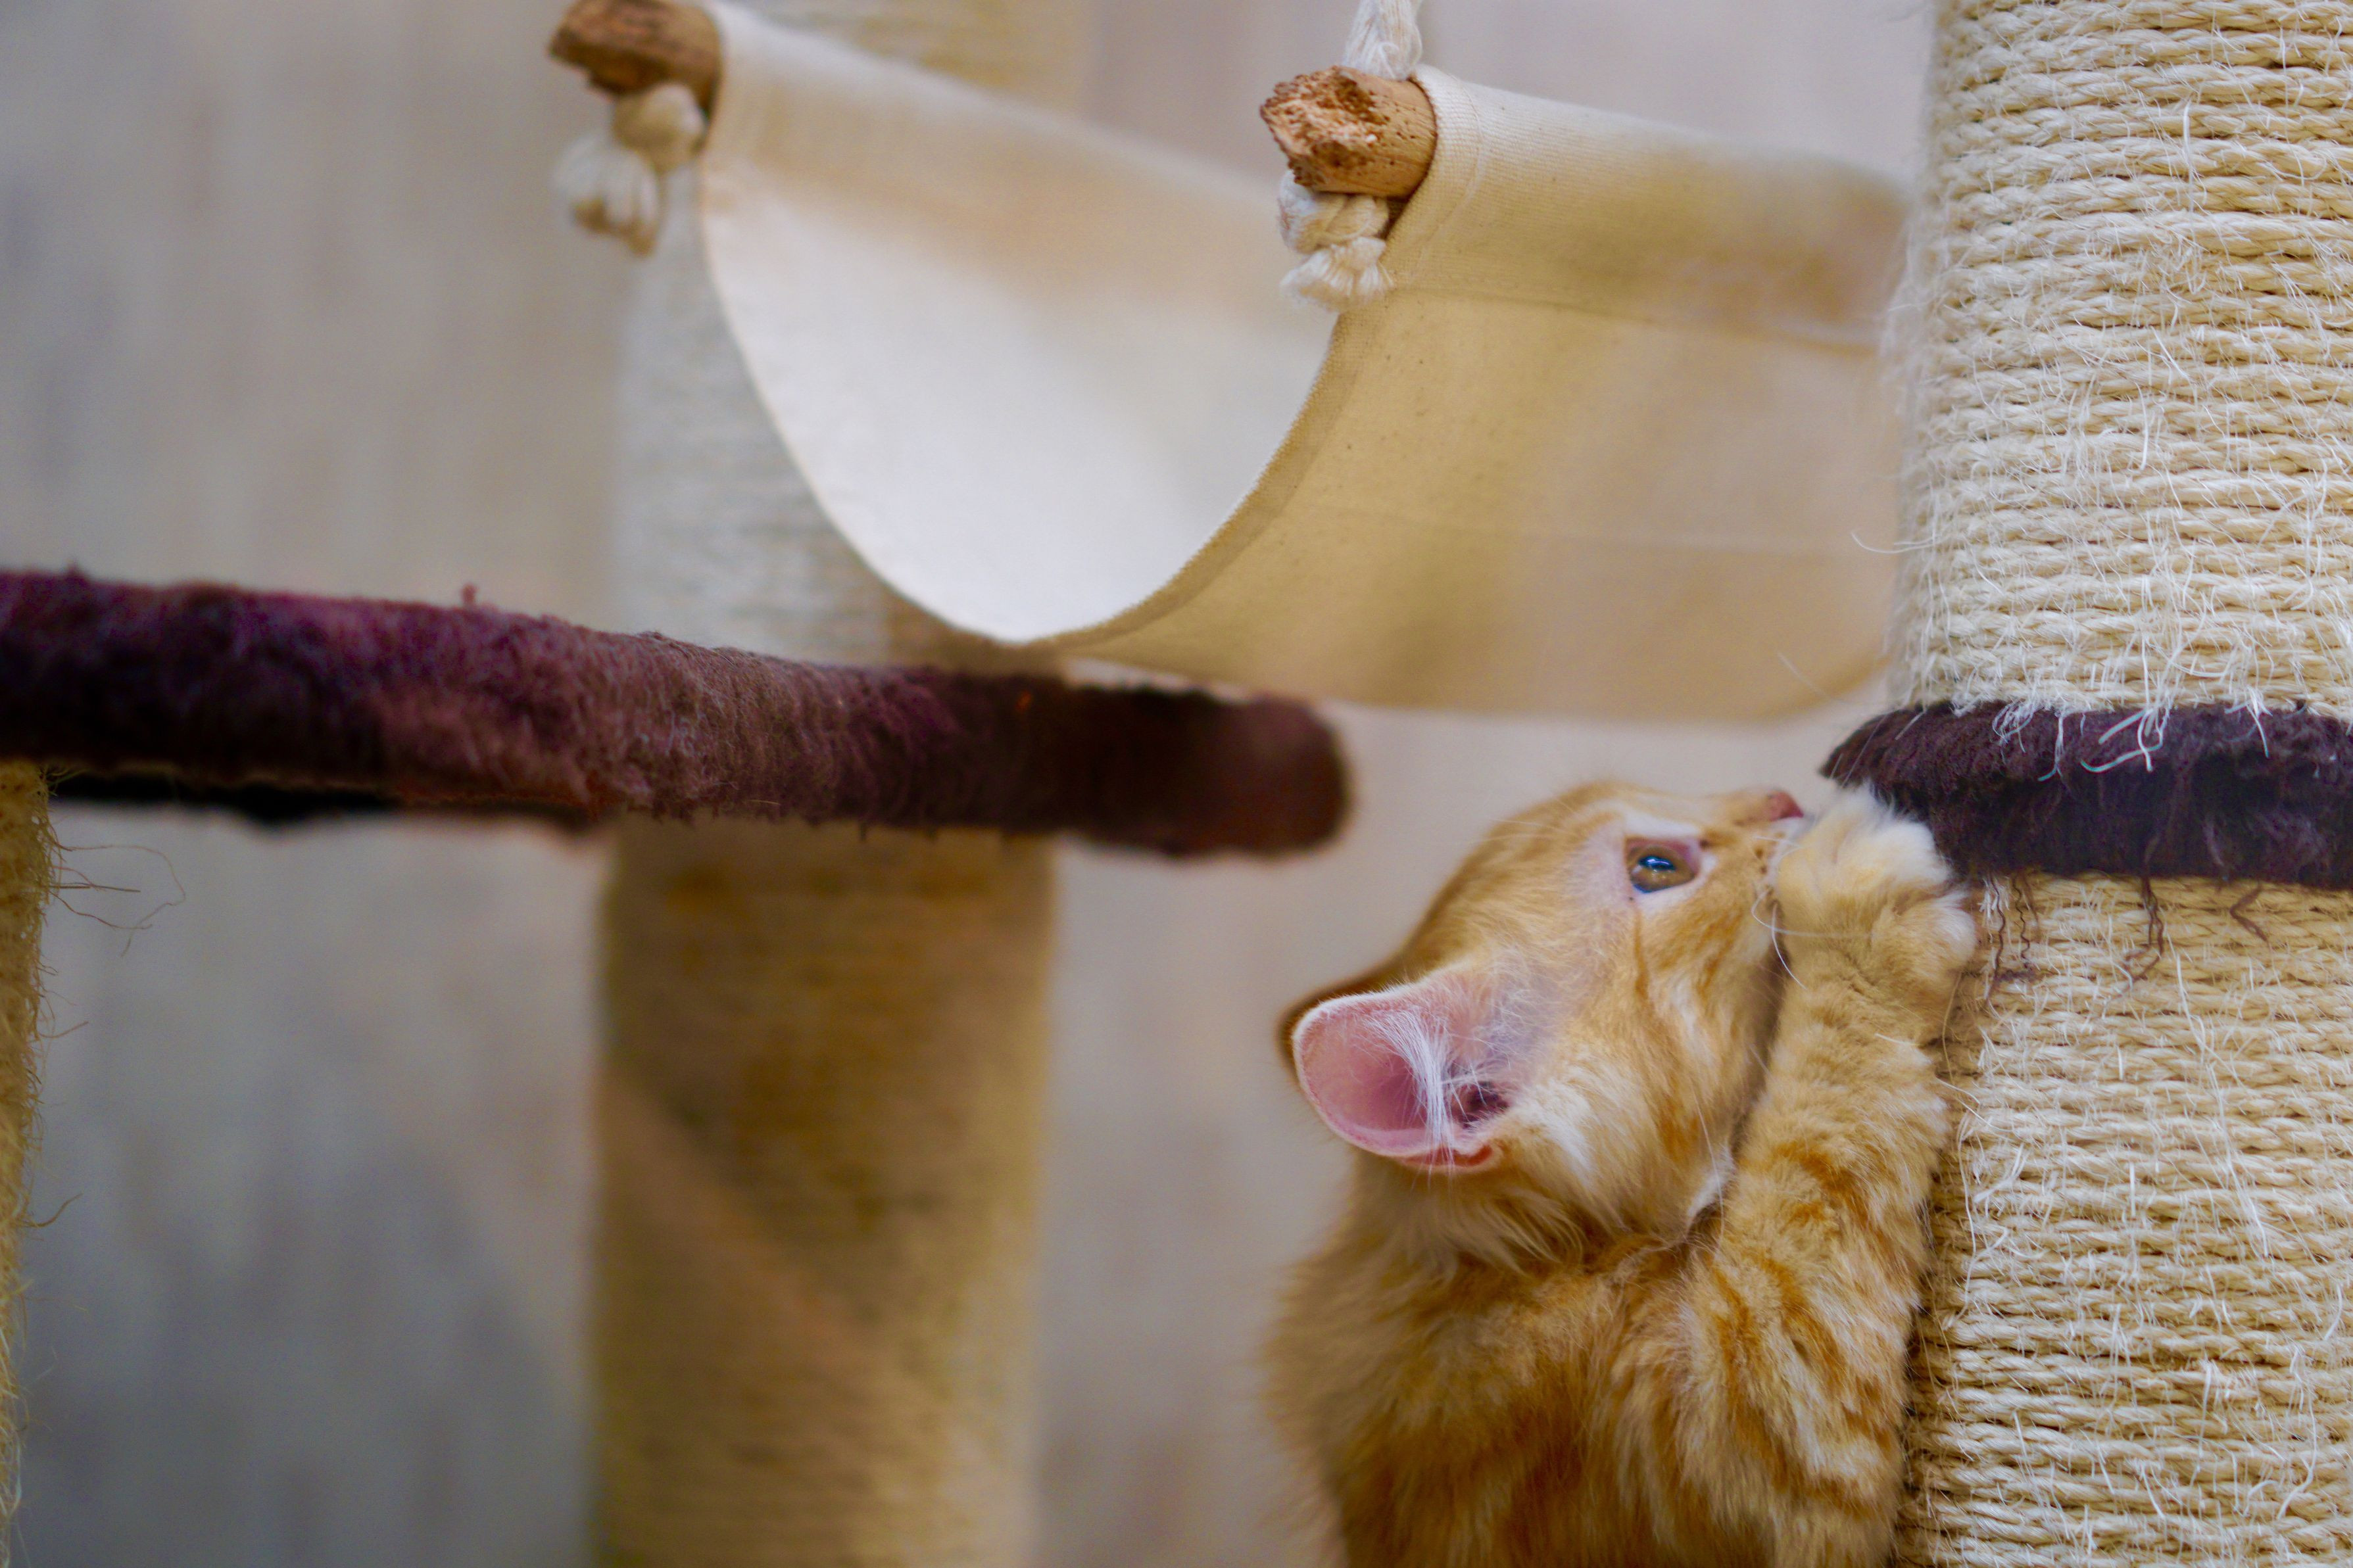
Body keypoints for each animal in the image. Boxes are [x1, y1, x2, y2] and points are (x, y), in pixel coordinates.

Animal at [1266, 784, 1973, 1568]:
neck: (1515, 1268)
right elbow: (1825, 1118)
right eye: (1656, 867)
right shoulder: (1745, 1428)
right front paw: (1852, 895)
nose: (1779, 797)